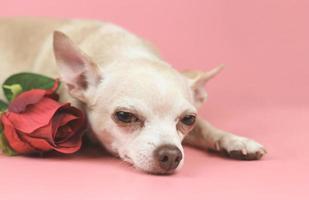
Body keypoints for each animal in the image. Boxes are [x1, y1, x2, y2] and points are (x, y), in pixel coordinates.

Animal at [0, 17, 264, 173]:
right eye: (125, 116)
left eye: (188, 120)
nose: (171, 154)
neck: (126, 51)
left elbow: (207, 128)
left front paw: (236, 141)